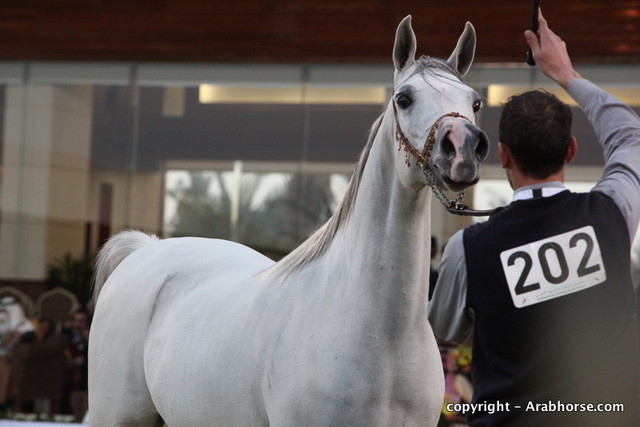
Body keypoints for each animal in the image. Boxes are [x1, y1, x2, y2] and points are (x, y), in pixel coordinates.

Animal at [88, 15, 489, 426]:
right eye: (404, 99)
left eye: (474, 101)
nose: (463, 149)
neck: (384, 335)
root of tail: (145, 249)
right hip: (117, 416)